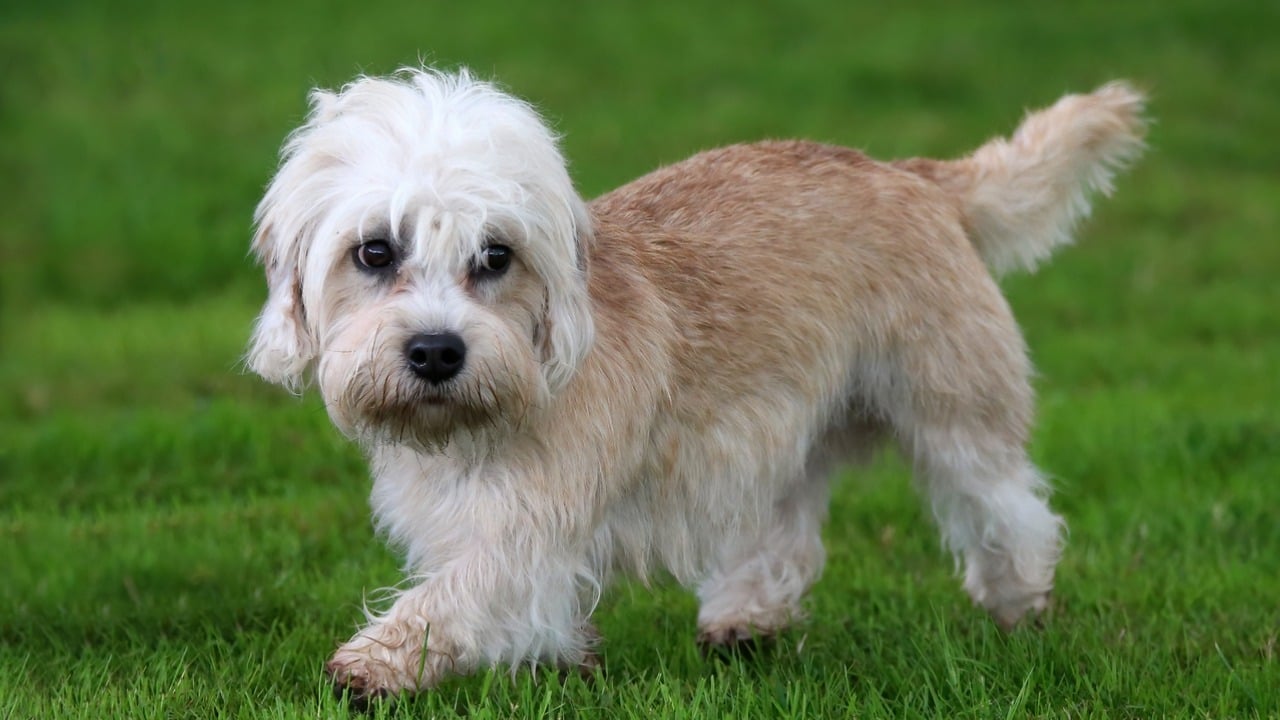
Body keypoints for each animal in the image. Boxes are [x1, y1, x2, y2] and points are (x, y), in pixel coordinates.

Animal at [244, 70, 1146, 696]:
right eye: (374, 251)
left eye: (495, 256)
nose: (436, 351)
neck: (507, 401)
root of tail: (913, 174)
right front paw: (564, 663)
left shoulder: (525, 536)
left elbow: (454, 599)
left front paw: (372, 663)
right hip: (785, 433)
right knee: (789, 536)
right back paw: (745, 619)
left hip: (954, 411)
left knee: (1011, 510)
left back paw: (1021, 607)